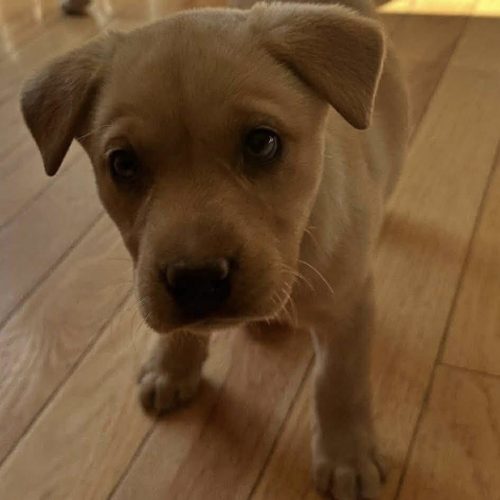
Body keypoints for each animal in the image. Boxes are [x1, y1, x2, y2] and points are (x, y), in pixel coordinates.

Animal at [21, 0, 408, 497]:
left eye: (262, 142)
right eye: (122, 163)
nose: (197, 281)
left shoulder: (348, 308)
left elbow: (338, 383)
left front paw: (348, 457)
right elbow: (182, 327)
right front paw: (173, 366)